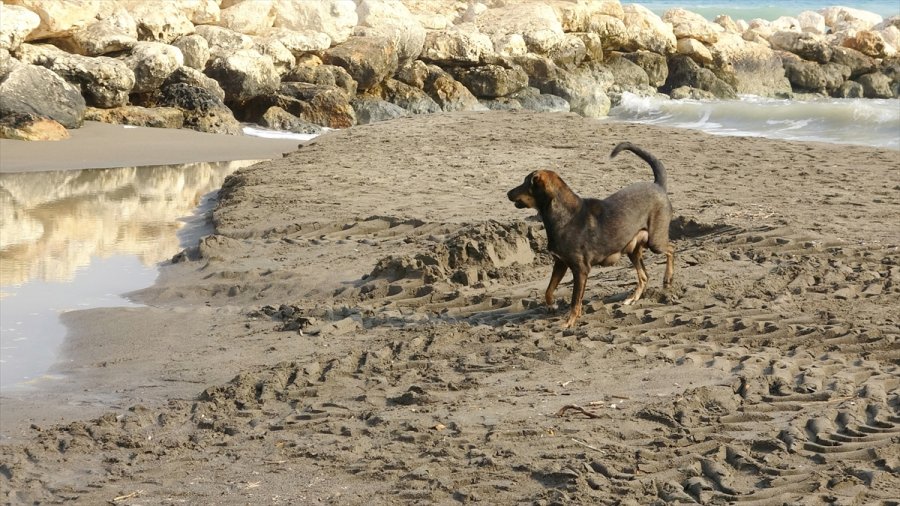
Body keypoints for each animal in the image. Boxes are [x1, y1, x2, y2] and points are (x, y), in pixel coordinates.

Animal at [506, 142, 676, 328]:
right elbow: (549, 290)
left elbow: (574, 300)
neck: (564, 215)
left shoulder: (580, 269)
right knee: (645, 276)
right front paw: (552, 306)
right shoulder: (560, 263)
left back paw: (668, 277)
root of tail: (658, 185)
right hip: (633, 249)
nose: (508, 193)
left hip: (655, 241)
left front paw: (569, 322)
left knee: (671, 249)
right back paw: (632, 298)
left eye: (525, 183)